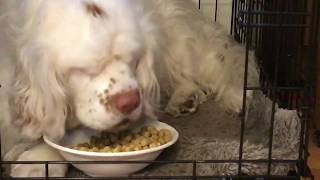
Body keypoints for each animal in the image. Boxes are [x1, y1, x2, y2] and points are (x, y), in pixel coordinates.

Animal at [0, 0, 258, 177]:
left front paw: (38, 161)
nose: (130, 102)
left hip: (177, 42)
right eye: (86, 69)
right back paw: (184, 99)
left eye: (133, 60)